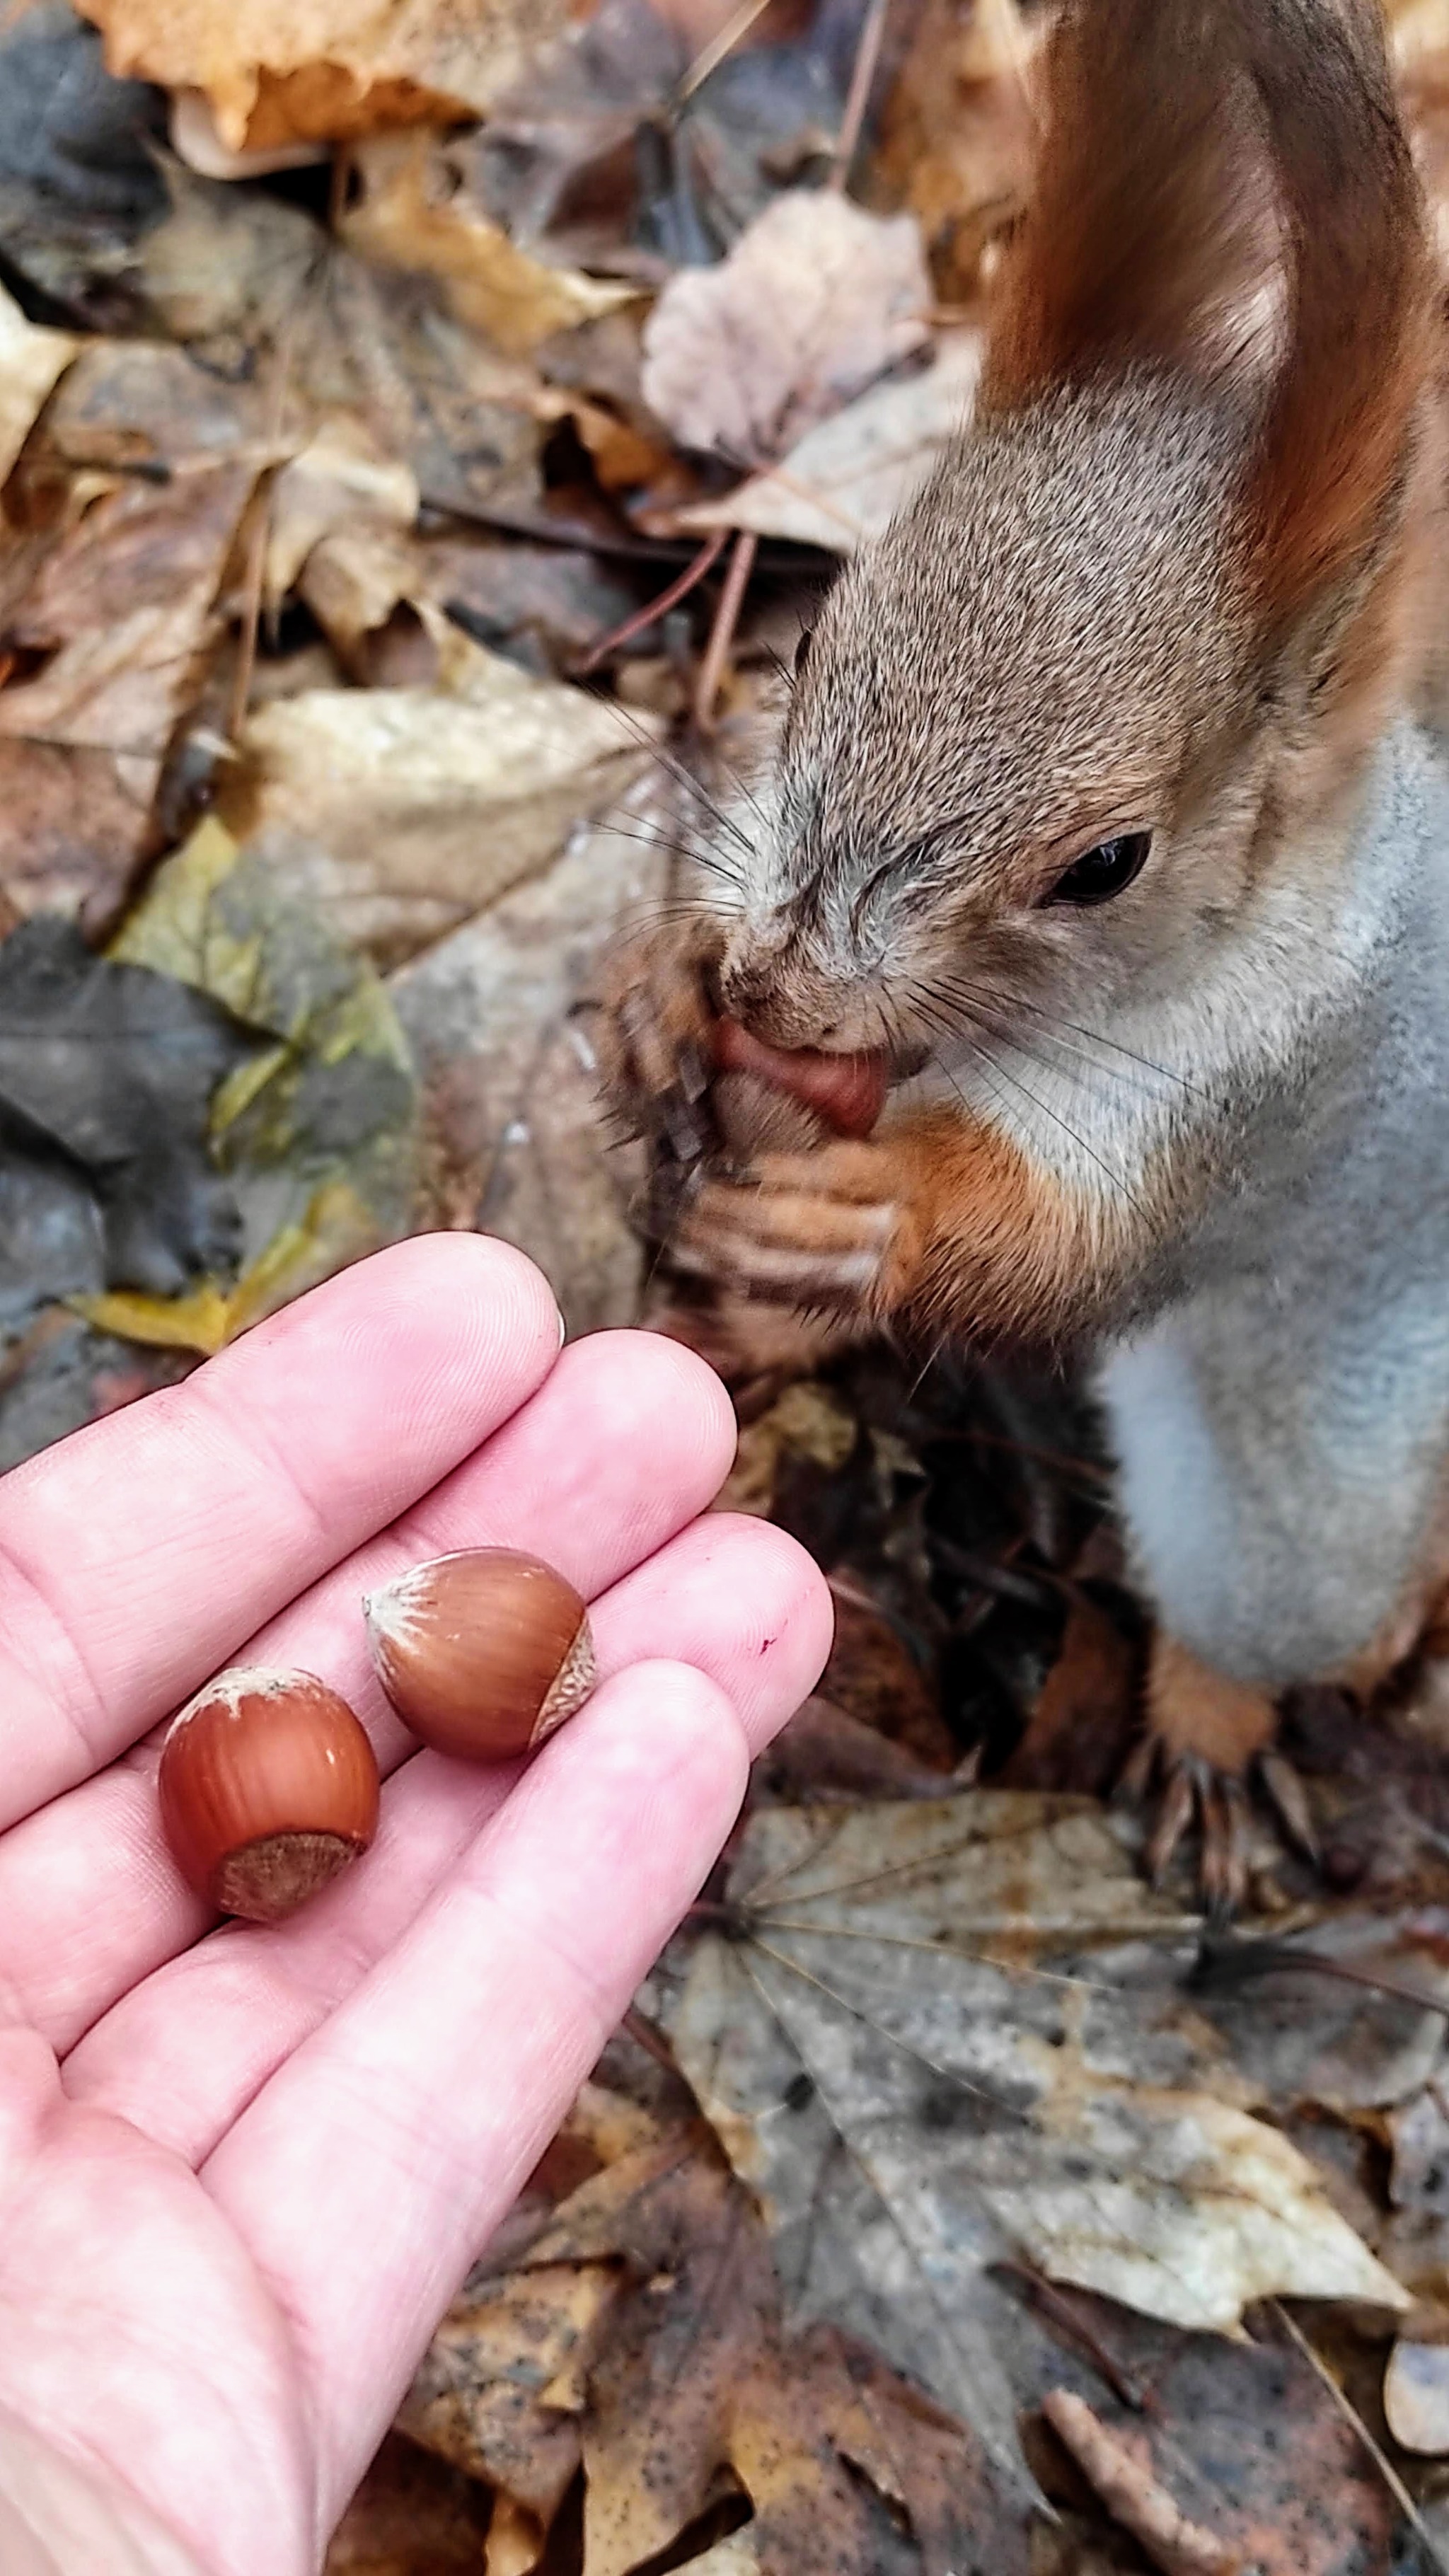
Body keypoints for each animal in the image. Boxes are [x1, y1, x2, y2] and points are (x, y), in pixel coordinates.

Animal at [595, 0, 1443, 1906]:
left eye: (1105, 863)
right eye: (815, 631)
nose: (783, 991)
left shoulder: (1274, 1092)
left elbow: (1070, 1241)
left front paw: (876, 1215)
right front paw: (664, 995)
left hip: (1305, 1495)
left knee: (1268, 1608)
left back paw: (1211, 1727)